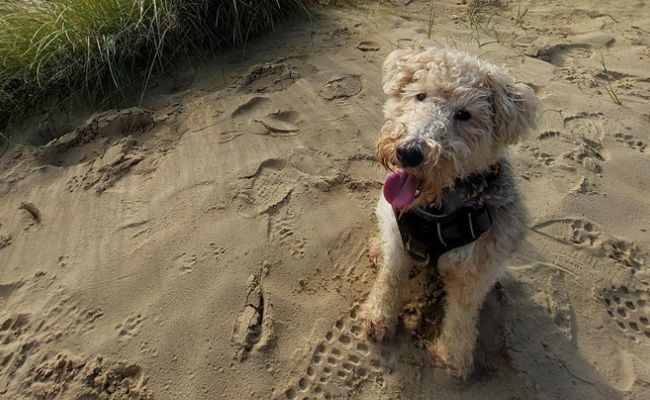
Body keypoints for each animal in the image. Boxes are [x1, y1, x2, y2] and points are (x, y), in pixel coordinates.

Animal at [360, 47, 536, 378]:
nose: (409, 152)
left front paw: (454, 356)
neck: (437, 209)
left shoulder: (476, 269)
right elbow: (390, 277)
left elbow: (463, 315)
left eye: (464, 114)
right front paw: (378, 316)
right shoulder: (398, 236)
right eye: (420, 96)